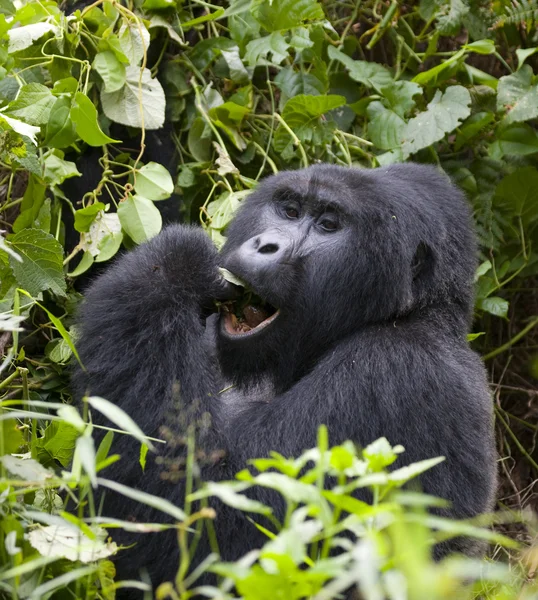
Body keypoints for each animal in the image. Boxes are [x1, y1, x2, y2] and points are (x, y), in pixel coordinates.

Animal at [73, 163, 496, 592]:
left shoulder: (398, 370)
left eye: (328, 225)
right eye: (289, 210)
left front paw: (174, 263)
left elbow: (208, 527)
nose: (265, 245)